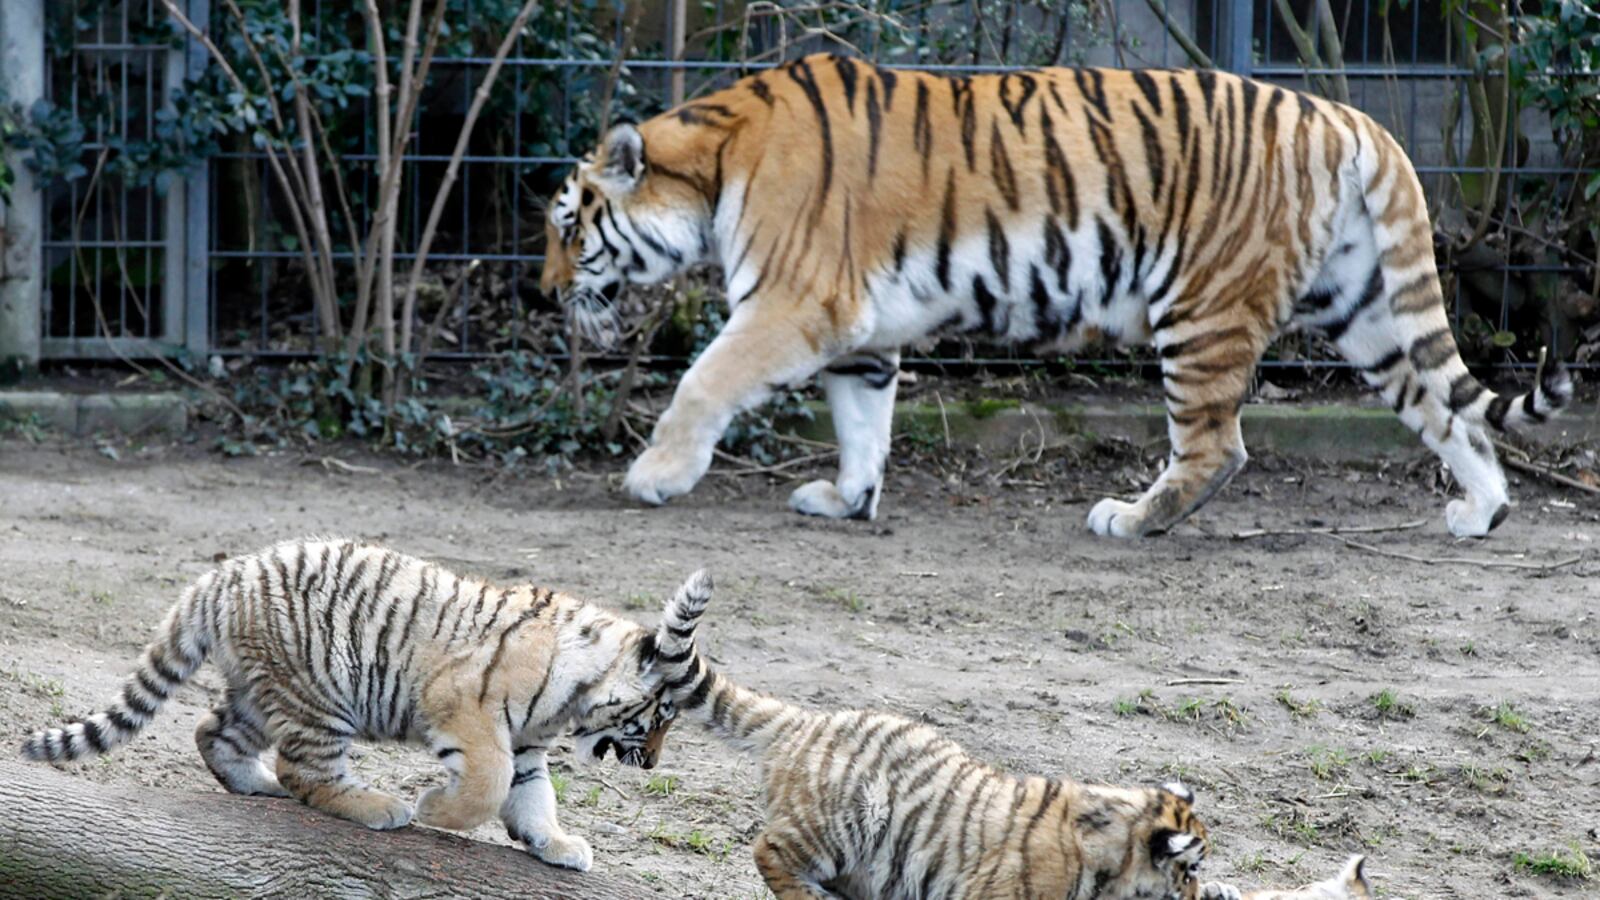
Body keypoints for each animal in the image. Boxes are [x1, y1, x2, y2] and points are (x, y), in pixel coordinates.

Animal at [19, 539, 703, 873]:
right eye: (660, 718)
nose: (652, 764)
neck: (572, 695)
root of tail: (224, 575)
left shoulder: (529, 743)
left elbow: (533, 795)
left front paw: (556, 845)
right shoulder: (466, 709)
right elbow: (489, 782)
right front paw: (435, 810)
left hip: (260, 690)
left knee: (214, 731)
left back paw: (257, 785)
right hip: (320, 691)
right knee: (307, 770)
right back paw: (380, 807)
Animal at [539, 52, 1571, 538]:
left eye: (567, 227)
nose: (545, 293)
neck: (712, 167)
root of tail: (1352, 117)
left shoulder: (795, 303)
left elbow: (702, 383)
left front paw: (654, 475)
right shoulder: (862, 332)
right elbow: (863, 423)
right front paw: (847, 499)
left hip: (1200, 307)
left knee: (1218, 447)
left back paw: (1131, 519)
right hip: (1365, 308)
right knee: (1450, 410)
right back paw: (1481, 513)